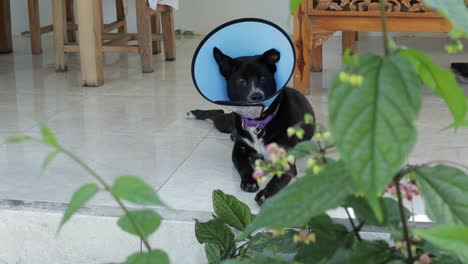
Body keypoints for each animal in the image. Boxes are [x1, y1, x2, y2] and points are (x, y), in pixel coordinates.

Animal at [186, 47, 314, 204]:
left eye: (263, 78)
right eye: (241, 81)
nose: (257, 96)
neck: (258, 122)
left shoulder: (285, 161)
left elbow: (278, 179)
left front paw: (266, 194)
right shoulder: (238, 151)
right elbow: (243, 166)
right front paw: (249, 181)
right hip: (227, 123)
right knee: (218, 112)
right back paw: (194, 113)